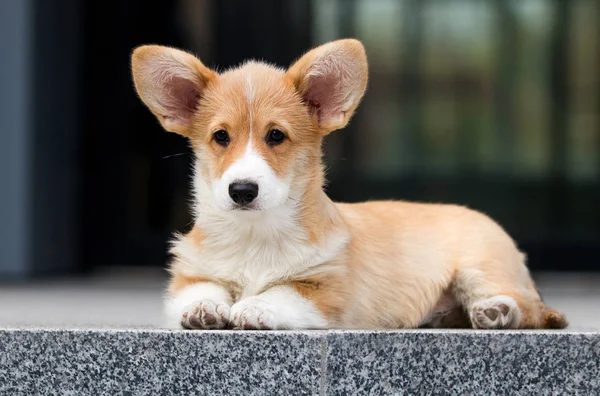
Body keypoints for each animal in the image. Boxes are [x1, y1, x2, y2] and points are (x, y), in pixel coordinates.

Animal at [131, 38, 568, 330]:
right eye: (221, 137)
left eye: (276, 136)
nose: (241, 191)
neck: (256, 235)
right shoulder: (191, 276)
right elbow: (199, 292)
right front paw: (204, 310)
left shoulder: (327, 290)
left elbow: (285, 292)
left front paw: (255, 307)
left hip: (482, 265)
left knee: (531, 309)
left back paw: (497, 311)